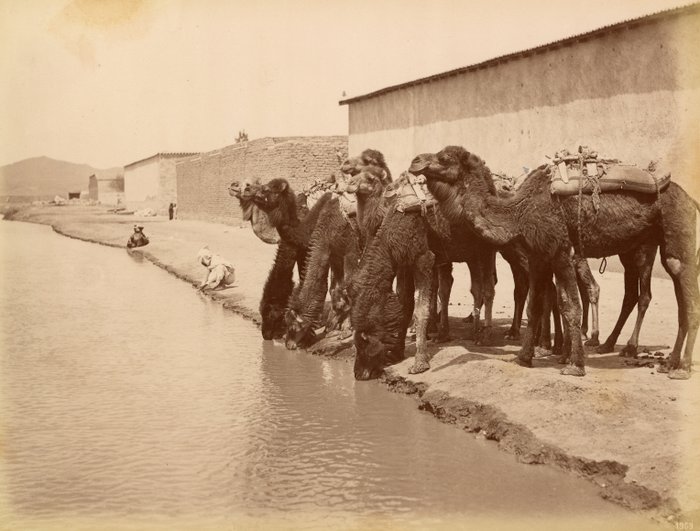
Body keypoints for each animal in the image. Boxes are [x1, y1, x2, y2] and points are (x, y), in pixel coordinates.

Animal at [410, 145, 700, 378]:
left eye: (444, 157)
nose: (415, 161)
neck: (518, 212)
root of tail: (691, 201)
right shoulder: (538, 257)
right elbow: (535, 306)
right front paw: (524, 357)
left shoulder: (561, 253)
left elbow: (570, 306)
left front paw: (574, 365)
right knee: (677, 298)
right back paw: (668, 362)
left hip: (674, 237)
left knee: (684, 296)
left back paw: (681, 367)